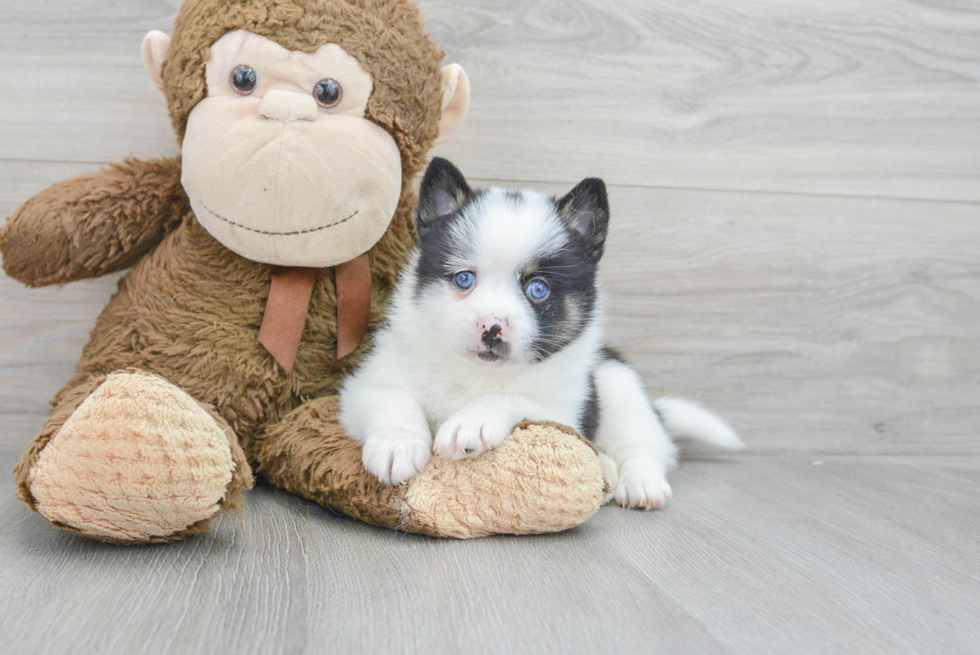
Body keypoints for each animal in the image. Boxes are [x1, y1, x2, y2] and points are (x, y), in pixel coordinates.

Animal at [338, 160, 744, 512]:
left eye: (538, 289)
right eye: (464, 279)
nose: (492, 328)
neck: (477, 373)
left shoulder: (561, 413)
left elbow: (511, 398)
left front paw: (472, 421)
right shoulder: (363, 386)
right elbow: (393, 399)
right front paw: (397, 445)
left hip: (618, 383)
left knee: (646, 444)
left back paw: (639, 482)